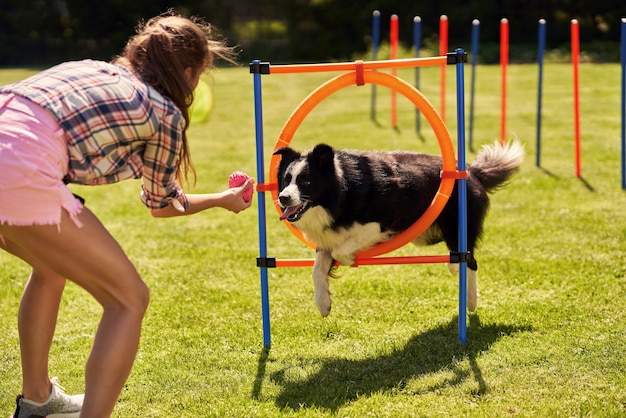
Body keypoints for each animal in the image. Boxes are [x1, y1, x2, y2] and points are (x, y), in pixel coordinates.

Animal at [272, 141, 520, 316]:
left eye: (306, 181)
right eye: (286, 179)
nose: (283, 198)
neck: (341, 190)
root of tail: (471, 170)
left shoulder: (383, 223)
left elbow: (340, 251)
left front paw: (350, 259)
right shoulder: (328, 235)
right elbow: (317, 269)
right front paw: (324, 304)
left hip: (455, 226)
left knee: (469, 259)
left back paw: (471, 301)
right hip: (426, 235)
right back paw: (454, 269)